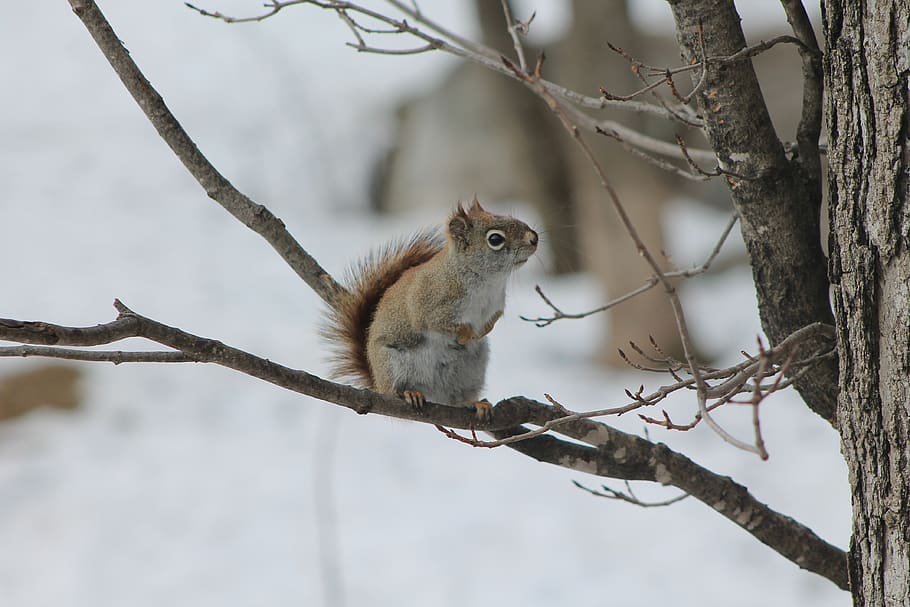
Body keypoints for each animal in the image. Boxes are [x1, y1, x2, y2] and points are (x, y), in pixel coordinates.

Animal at [324, 198, 538, 421]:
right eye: (495, 239)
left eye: (510, 216)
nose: (534, 238)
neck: (488, 283)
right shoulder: (428, 304)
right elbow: (437, 323)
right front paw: (466, 334)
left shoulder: (495, 306)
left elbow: (492, 321)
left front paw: (482, 332)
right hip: (393, 363)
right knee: (394, 390)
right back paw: (409, 393)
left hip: (471, 370)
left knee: (455, 398)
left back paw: (474, 403)